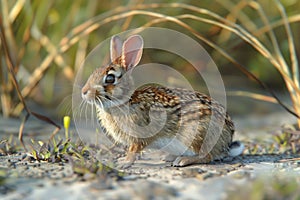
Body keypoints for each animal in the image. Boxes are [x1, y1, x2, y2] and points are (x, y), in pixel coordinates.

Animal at [81, 34, 244, 169]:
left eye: (110, 78)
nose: (84, 92)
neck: (124, 102)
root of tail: (226, 143)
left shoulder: (139, 137)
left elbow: (133, 151)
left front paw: (124, 163)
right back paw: (169, 157)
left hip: (197, 134)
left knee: (206, 156)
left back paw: (182, 160)